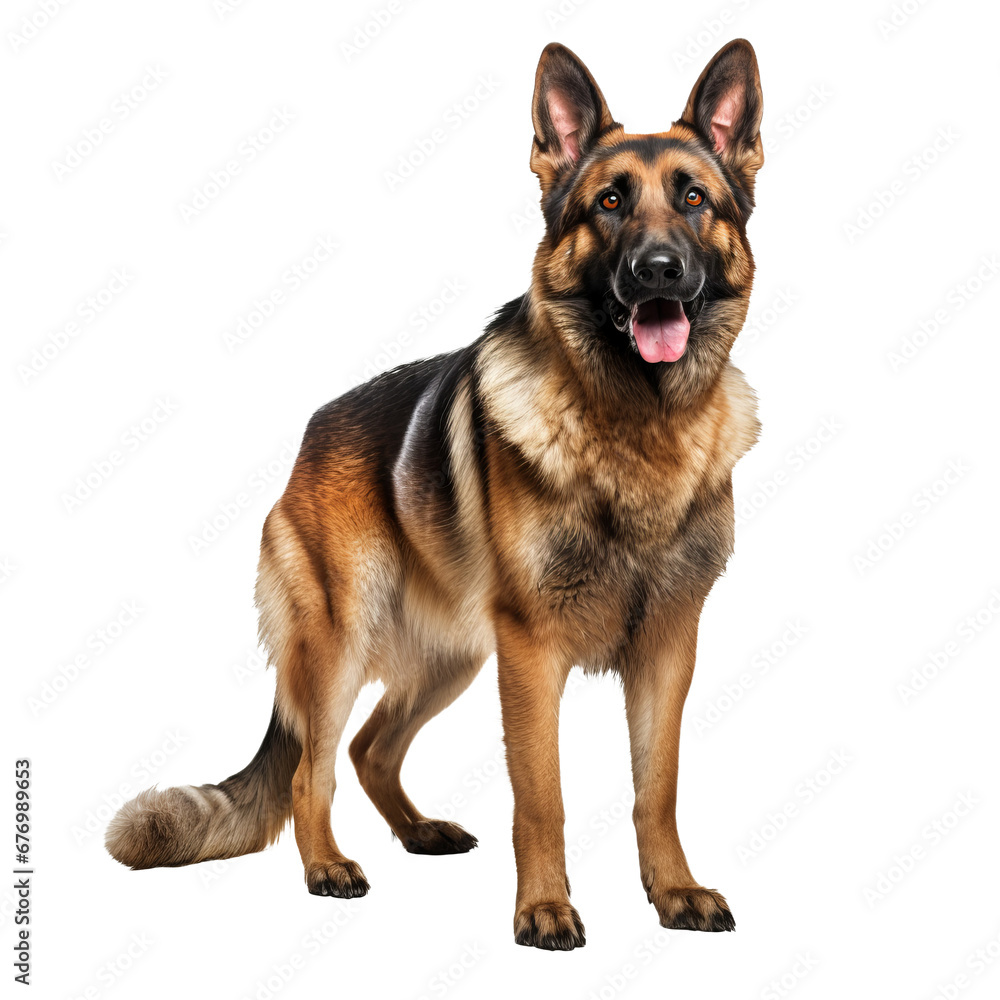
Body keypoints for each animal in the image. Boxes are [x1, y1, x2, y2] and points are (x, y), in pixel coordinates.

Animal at [107, 41, 764, 952]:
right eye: (609, 203)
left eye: (694, 199)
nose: (657, 271)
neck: (636, 425)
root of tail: (308, 438)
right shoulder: (531, 656)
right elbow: (542, 797)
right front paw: (544, 908)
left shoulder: (669, 647)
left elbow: (655, 790)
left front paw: (674, 892)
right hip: (342, 645)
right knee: (313, 768)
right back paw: (328, 867)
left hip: (450, 657)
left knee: (370, 749)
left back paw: (418, 831)